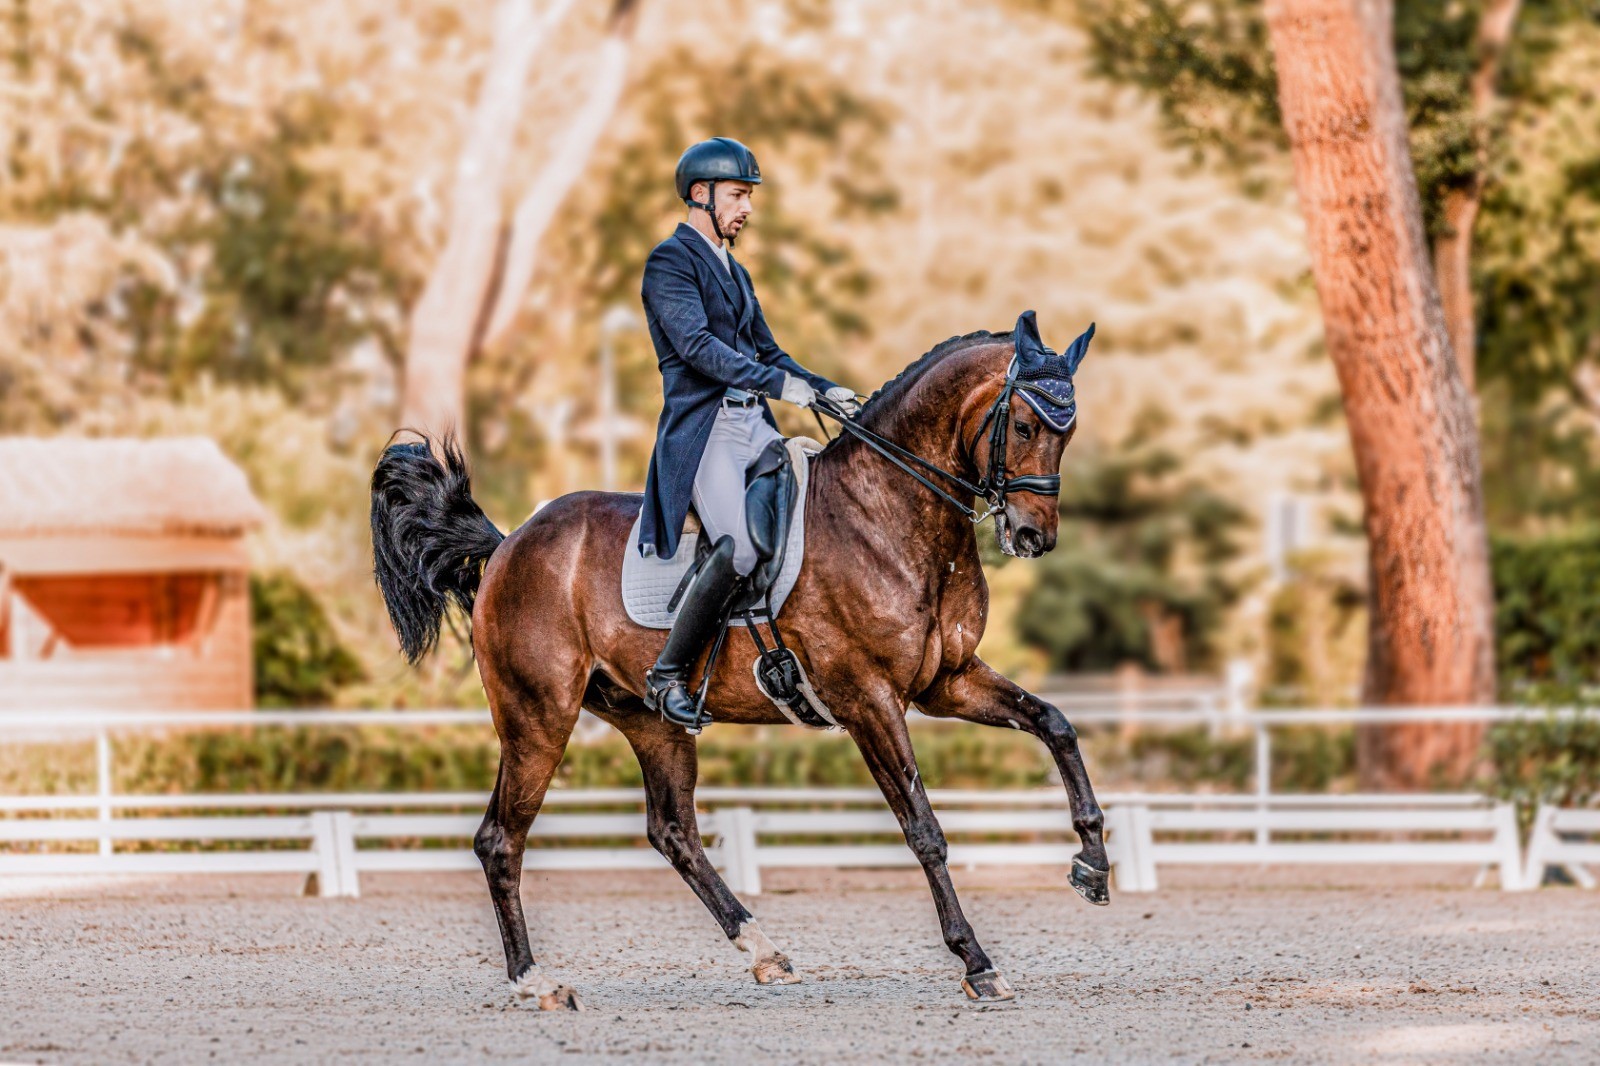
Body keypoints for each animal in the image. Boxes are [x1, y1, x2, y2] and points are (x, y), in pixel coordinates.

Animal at [369, 325, 1109, 1010]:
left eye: (1068, 433)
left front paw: (1092, 864)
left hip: (653, 724)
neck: (886, 514)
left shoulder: (945, 682)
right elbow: (924, 829)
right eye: (1023, 425)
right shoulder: (869, 698)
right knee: (500, 840)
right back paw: (537, 981)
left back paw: (764, 950)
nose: (1033, 537)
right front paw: (976, 961)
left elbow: (1055, 723)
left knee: (673, 832)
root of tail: (508, 545)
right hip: (537, 719)